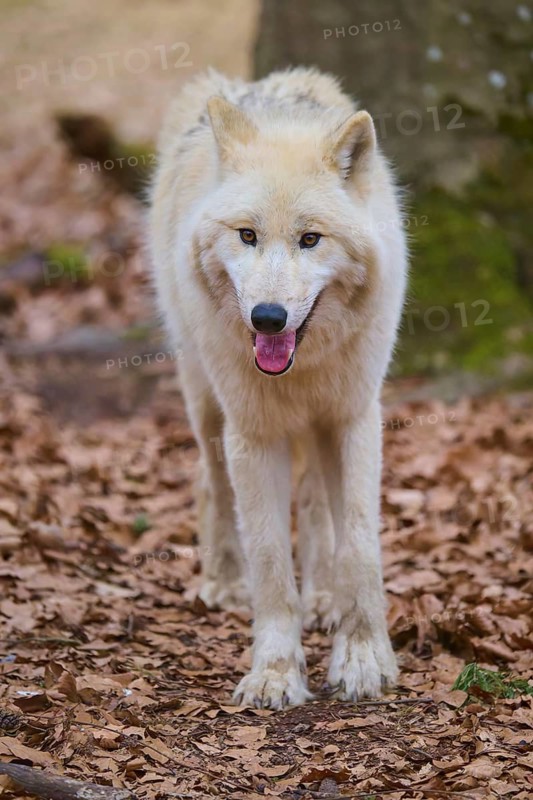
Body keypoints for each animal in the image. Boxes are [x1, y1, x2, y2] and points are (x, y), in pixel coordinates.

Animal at [149, 67, 407, 709]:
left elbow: (358, 545)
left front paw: (363, 658)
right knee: (209, 482)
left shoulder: (353, 418)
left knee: (315, 508)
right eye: (247, 235)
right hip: (206, 406)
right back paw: (223, 582)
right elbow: (268, 557)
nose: (267, 318)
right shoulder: (253, 435)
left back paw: (322, 599)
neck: (299, 366)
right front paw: (275, 672)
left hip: (314, 430)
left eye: (311, 240)